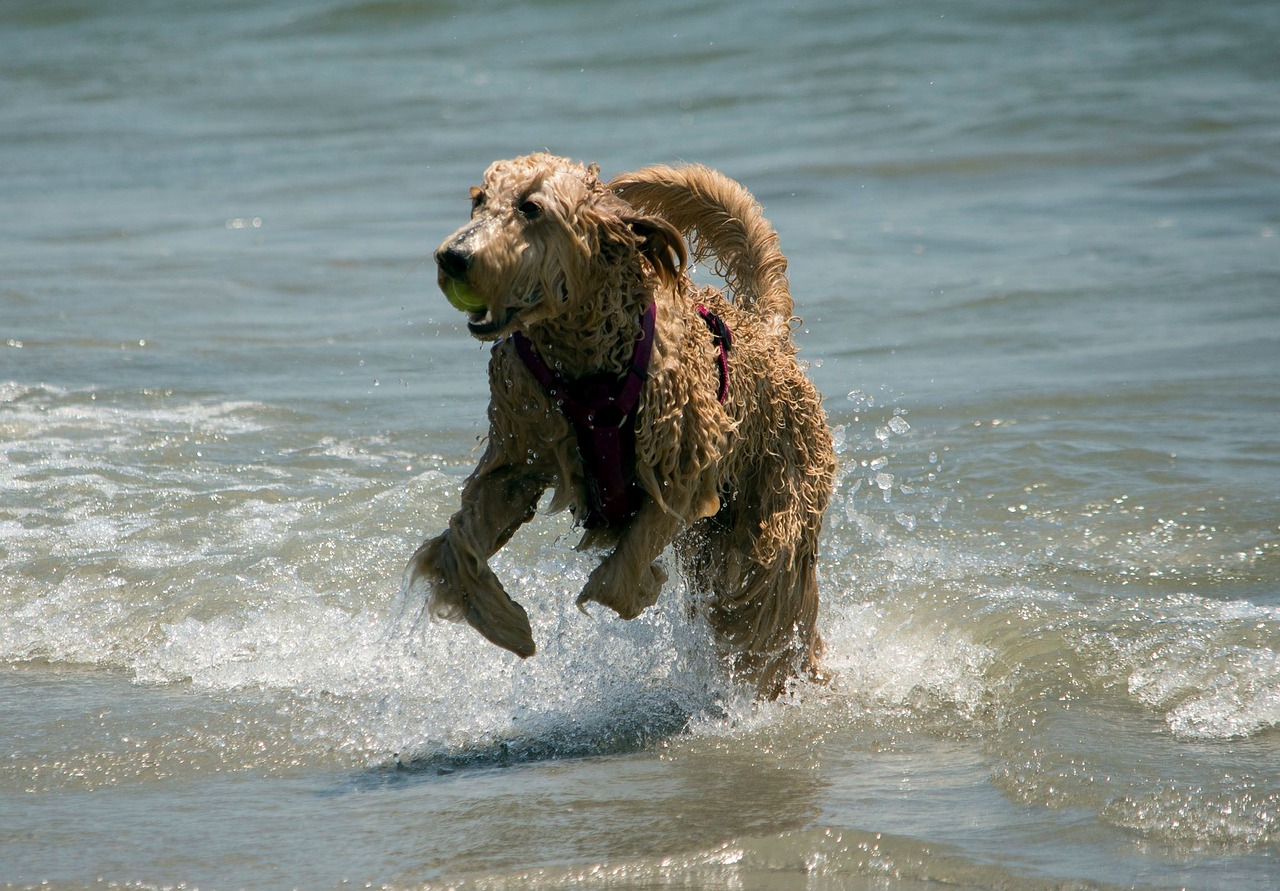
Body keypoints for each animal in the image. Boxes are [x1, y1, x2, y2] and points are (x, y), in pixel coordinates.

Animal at [404, 152, 834, 696]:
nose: (452, 257)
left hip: (775, 513)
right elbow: (460, 542)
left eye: (531, 208)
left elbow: (618, 575)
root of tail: (767, 331)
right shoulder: (517, 458)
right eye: (479, 201)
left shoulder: (684, 472)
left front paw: (638, 588)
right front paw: (504, 621)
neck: (585, 365)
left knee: (766, 606)